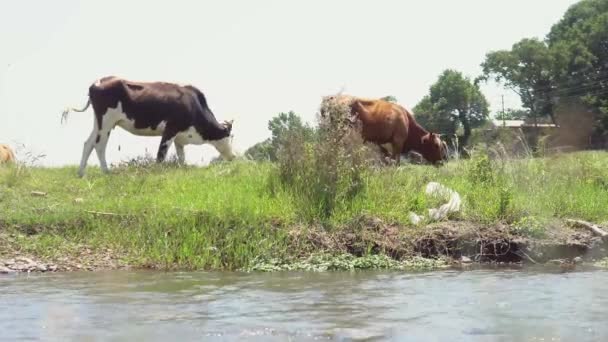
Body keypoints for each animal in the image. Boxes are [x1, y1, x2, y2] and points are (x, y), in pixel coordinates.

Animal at [63, 76, 236, 178]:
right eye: (231, 137)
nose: (233, 156)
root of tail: (99, 81)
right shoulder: (170, 129)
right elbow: (161, 154)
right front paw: (157, 172)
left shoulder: (180, 136)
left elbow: (181, 156)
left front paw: (182, 170)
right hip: (106, 122)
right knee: (99, 145)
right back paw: (106, 172)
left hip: (99, 123)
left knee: (88, 143)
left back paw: (81, 173)